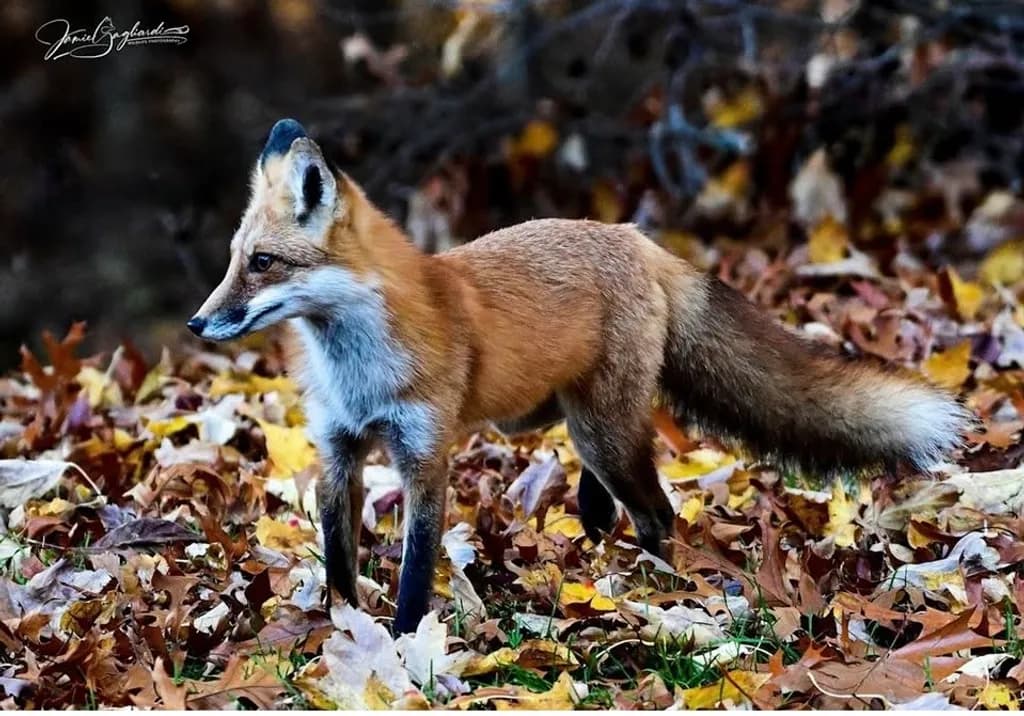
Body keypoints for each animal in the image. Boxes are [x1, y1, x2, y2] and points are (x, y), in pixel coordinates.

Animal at [188, 118, 971, 633]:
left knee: (657, 511)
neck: (358, 370)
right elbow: (339, 563)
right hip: (549, 413)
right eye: (231, 260)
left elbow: (413, 575)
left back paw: (657, 587)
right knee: (608, 488)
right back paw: (596, 530)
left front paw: (406, 648)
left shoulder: (425, 457)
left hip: (598, 430)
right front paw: (343, 636)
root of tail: (632, 237)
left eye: (263, 263)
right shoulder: (338, 451)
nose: (197, 324)